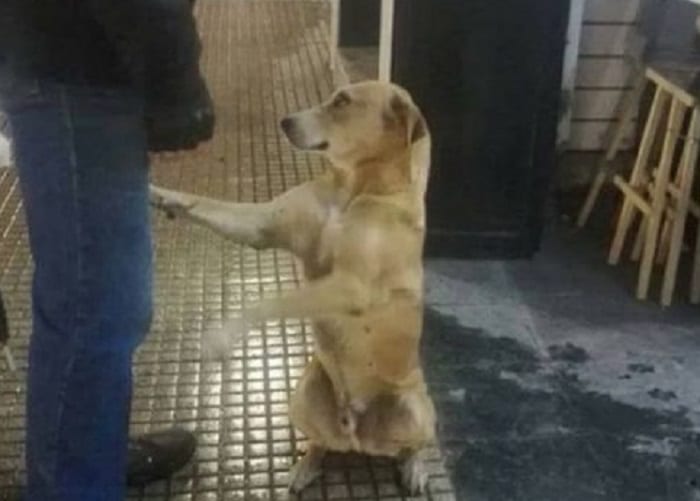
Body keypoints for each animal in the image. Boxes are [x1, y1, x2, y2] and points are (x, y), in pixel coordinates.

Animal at [150, 81, 437, 495]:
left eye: (342, 102)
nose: (284, 122)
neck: (354, 188)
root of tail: (355, 434)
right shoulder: (261, 225)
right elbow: (204, 203)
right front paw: (158, 193)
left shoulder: (352, 286)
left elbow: (272, 302)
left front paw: (224, 334)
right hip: (303, 394)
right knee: (320, 440)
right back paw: (306, 465)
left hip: (415, 408)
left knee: (413, 444)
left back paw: (414, 467)